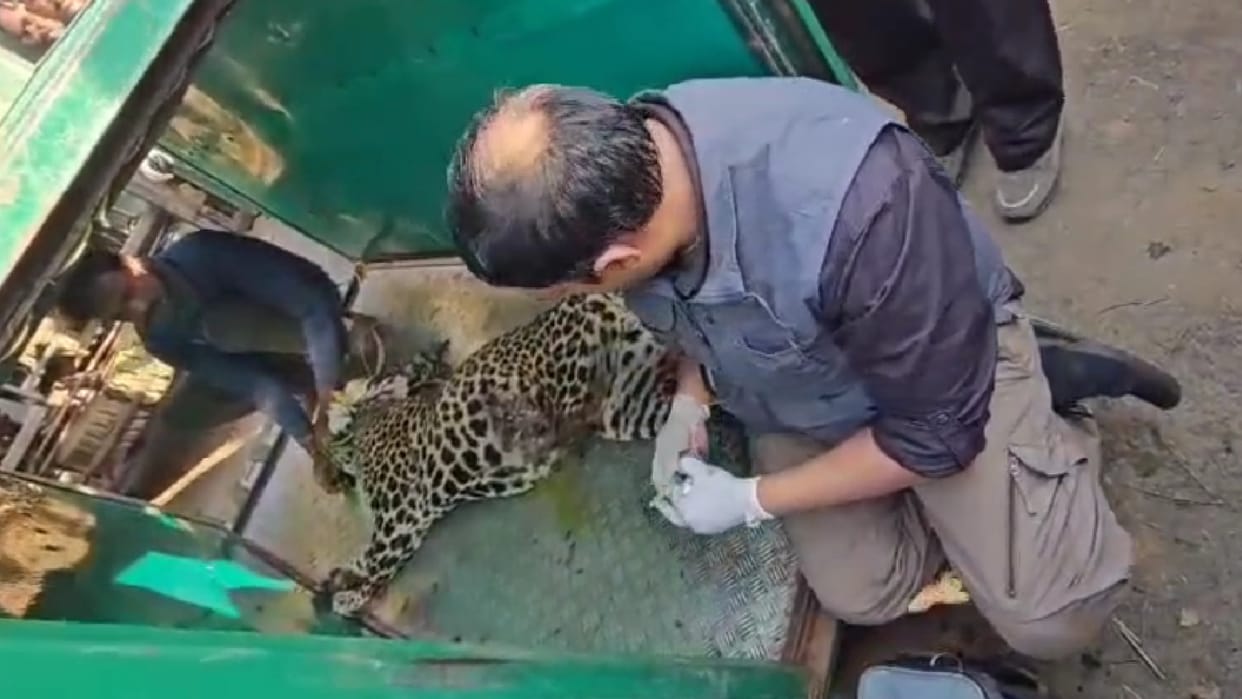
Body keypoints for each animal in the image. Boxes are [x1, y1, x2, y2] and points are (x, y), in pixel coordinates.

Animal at [315, 292, 748, 617]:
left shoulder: (400, 514)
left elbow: (374, 559)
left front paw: (345, 592)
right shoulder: (411, 523)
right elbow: (376, 563)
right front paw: (343, 584)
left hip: (570, 358)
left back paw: (540, 424)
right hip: (630, 405)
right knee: (702, 400)